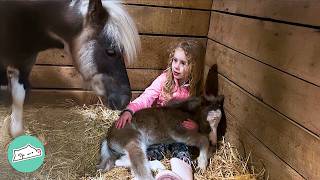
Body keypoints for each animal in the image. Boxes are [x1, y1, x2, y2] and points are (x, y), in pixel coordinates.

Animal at [96, 95, 224, 179]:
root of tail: (108, 137)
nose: (215, 142)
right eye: (212, 120)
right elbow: (203, 140)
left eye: (219, 122)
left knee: (122, 161)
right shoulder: (179, 132)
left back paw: (159, 166)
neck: (187, 113)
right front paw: (202, 165)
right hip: (134, 141)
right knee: (140, 169)